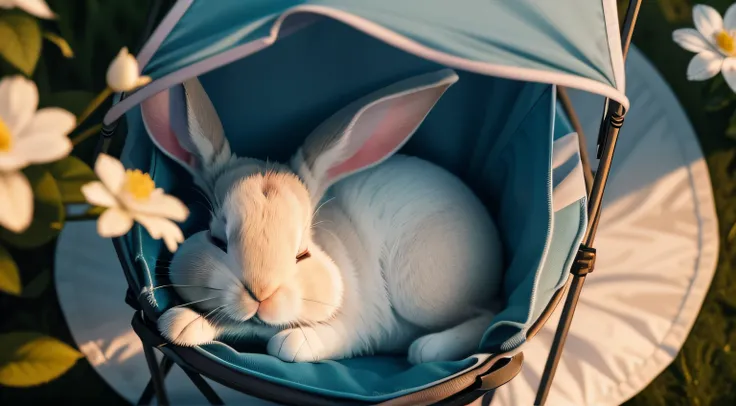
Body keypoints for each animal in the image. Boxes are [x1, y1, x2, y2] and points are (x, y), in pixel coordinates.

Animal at [150, 68, 506, 364]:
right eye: (217, 240)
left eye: (302, 253)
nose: (261, 294)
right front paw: (180, 323)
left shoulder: (362, 326)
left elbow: (288, 344)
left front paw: (292, 342)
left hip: (422, 293)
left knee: (490, 311)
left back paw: (428, 349)